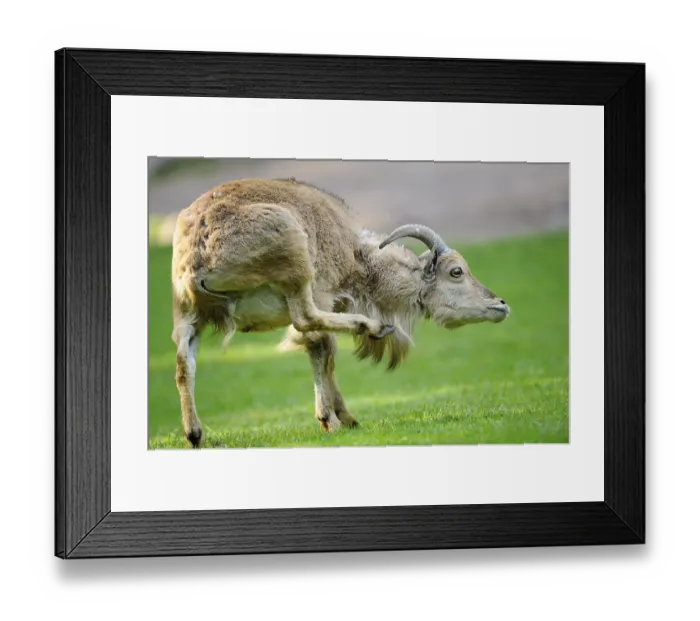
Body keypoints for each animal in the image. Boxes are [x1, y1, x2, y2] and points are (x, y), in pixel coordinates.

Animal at [171, 177, 510, 447]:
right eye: (456, 272)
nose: (501, 304)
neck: (355, 255)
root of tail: (200, 249)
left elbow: (321, 351)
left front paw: (343, 417)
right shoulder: (321, 293)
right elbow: (321, 347)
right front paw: (332, 418)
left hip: (189, 313)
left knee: (184, 363)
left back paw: (195, 434)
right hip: (294, 258)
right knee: (306, 319)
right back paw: (373, 326)